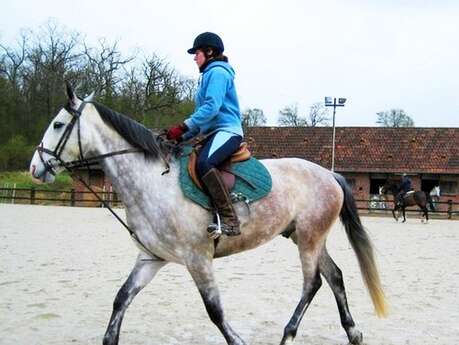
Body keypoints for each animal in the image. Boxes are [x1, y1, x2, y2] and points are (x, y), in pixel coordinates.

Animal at [29, 83, 388, 344]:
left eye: (58, 124)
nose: (35, 168)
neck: (152, 181)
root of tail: (329, 174)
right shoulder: (150, 258)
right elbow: (121, 299)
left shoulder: (197, 258)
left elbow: (215, 311)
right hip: (306, 237)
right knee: (334, 276)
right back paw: (353, 333)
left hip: (310, 239)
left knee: (312, 283)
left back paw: (288, 335)